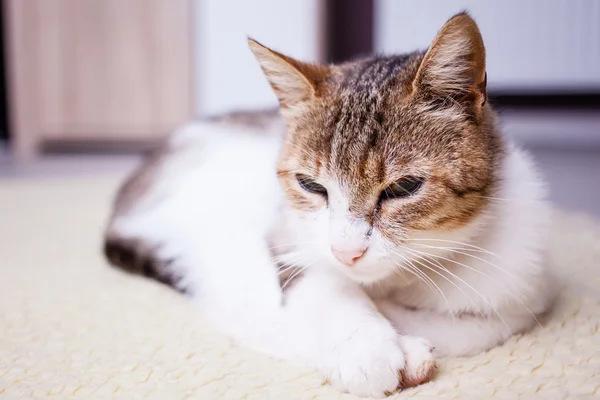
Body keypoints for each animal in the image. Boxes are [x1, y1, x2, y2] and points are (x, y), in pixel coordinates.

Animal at [104, 11, 556, 396]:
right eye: (310, 185)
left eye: (404, 187)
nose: (346, 252)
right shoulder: (288, 240)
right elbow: (321, 285)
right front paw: (366, 346)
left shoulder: (522, 291)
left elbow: (475, 327)